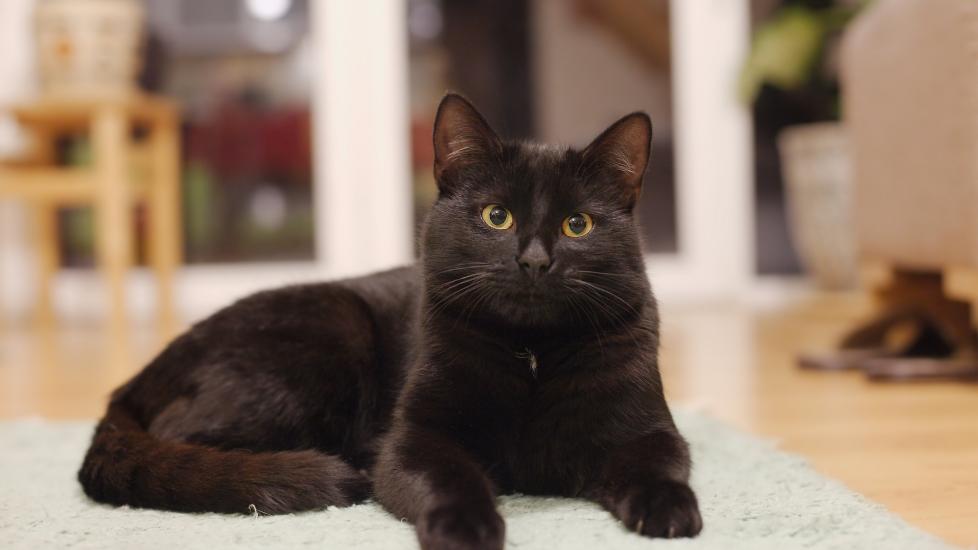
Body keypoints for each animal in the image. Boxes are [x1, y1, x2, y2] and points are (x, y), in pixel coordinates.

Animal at [78, 94, 700, 548]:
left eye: (578, 225)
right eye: (496, 216)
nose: (534, 261)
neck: (531, 356)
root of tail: (138, 378)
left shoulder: (647, 429)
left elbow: (658, 465)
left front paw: (669, 509)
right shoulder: (415, 437)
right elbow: (449, 476)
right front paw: (465, 528)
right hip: (327, 339)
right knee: (189, 443)